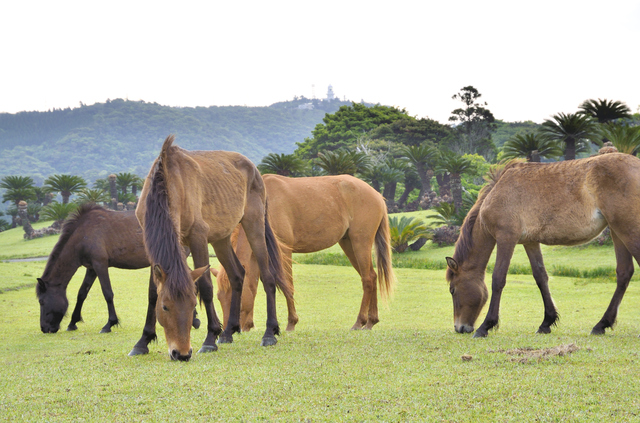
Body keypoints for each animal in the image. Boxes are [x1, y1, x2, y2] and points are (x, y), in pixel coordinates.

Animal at [36, 203, 198, 334]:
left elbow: (107, 293)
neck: (83, 234)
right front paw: (73, 322)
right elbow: (82, 293)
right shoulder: (91, 269)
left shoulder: (100, 265)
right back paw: (193, 319)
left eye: (41, 302)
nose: (44, 328)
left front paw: (110, 323)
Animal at [129, 135, 288, 361]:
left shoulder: (198, 237)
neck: (169, 181)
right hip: (221, 239)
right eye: (165, 306)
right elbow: (152, 291)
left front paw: (210, 338)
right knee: (237, 275)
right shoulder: (153, 242)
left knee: (268, 277)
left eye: (193, 305)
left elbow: (205, 286)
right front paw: (143, 341)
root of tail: (254, 170)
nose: (182, 353)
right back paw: (229, 332)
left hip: (254, 226)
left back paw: (269, 333)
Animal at [216, 174, 395, 332]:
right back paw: (371, 321)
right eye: (219, 297)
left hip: (360, 243)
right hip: (348, 244)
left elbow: (288, 285)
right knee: (372, 276)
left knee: (367, 279)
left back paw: (359, 322)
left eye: (235, 296)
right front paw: (249, 325)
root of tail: (376, 195)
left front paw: (291, 323)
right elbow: (253, 286)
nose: (229, 330)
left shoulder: (284, 251)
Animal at [445, 153, 640, 338]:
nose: (459, 327)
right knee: (624, 272)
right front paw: (547, 322)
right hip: (616, 230)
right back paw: (601, 324)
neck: (498, 191)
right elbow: (540, 277)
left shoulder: (506, 238)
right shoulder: (530, 242)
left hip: (626, 229)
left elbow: (498, 279)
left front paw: (486, 326)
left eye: (452, 290)